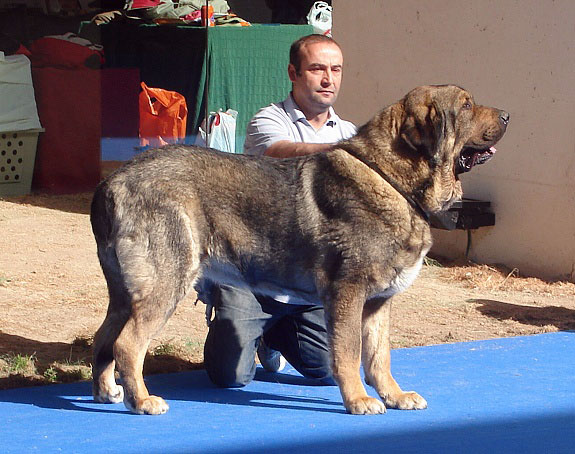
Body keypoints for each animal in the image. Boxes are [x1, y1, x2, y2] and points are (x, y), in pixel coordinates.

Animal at [90, 83, 508, 414]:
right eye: (466, 105)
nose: (506, 115)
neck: (392, 178)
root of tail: (113, 181)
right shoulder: (348, 292)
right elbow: (349, 351)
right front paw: (358, 400)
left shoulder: (377, 303)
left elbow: (379, 356)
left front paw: (394, 395)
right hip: (166, 282)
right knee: (127, 343)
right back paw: (142, 400)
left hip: (124, 292)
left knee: (104, 338)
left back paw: (107, 392)